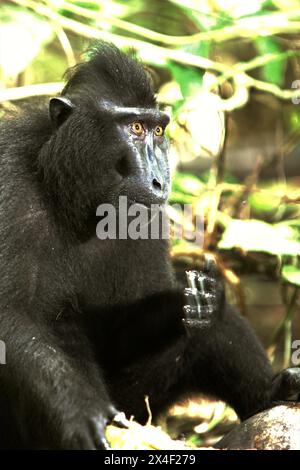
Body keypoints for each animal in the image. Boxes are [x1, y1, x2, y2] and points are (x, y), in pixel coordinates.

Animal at [0, 42, 300, 450]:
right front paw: (80, 412)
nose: (160, 180)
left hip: (138, 403)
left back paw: (270, 391)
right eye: (136, 128)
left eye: (158, 130)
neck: (74, 203)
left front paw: (191, 302)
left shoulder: (148, 221)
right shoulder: (10, 185)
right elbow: (15, 317)